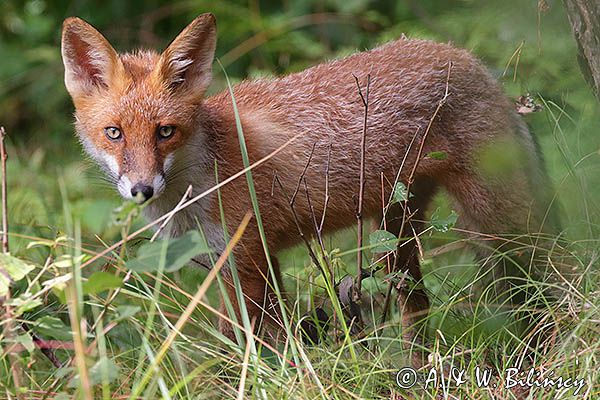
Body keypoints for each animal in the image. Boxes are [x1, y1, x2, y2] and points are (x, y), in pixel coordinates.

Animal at [61, 13, 552, 344]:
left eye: (165, 132)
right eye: (114, 133)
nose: (142, 190)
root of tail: (467, 57)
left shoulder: (248, 260)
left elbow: (250, 348)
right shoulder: (239, 265)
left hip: (502, 225)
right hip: (395, 232)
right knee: (418, 307)